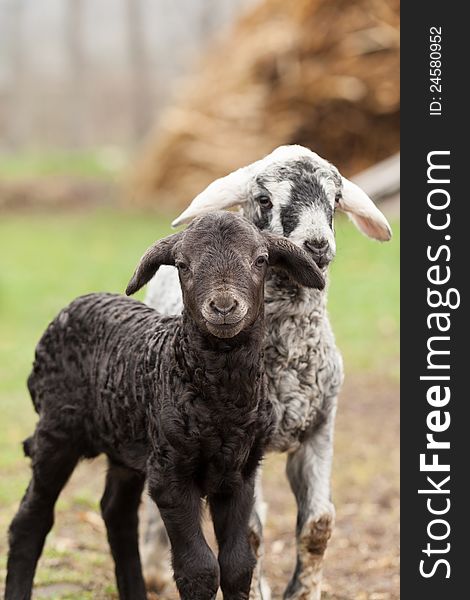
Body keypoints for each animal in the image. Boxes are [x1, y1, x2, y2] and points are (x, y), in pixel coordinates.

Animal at [5, 211, 324, 600]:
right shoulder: (170, 473)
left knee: (117, 513)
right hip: (57, 431)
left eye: (261, 260)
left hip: (127, 441)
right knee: (31, 518)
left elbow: (237, 565)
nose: (223, 307)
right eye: (183, 265)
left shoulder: (240, 473)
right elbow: (199, 569)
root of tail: (76, 303)